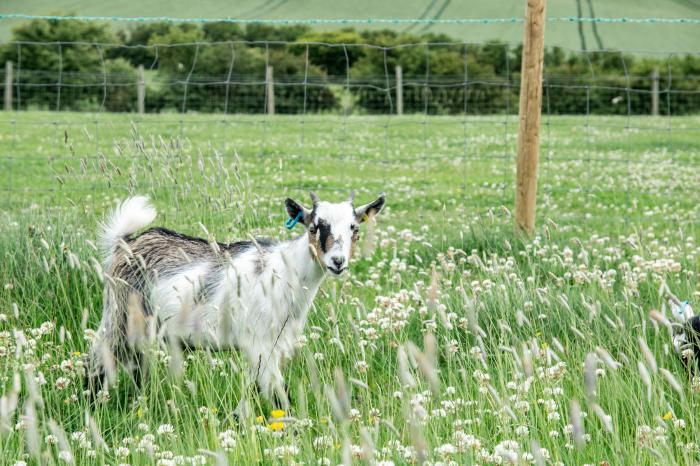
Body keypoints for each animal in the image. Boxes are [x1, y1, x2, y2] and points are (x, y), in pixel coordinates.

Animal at [87, 191, 386, 414]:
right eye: (314, 227)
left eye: (354, 228)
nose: (337, 261)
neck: (286, 271)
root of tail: (126, 243)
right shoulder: (259, 342)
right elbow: (279, 393)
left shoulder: (274, 343)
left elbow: (256, 387)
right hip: (120, 314)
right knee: (99, 359)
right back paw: (92, 405)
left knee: (136, 364)